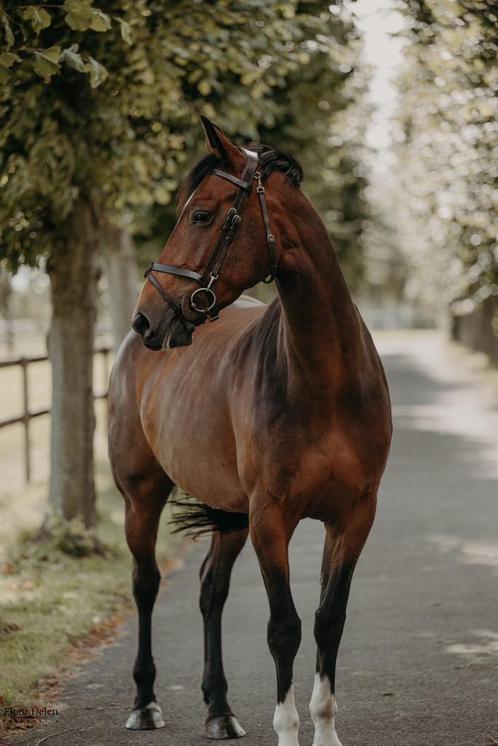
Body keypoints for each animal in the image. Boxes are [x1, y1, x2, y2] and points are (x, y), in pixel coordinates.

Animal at [107, 117, 392, 744]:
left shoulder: (353, 513)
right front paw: (287, 730)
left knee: (211, 590)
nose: (146, 318)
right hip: (142, 497)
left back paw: (220, 709)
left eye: (201, 215)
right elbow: (283, 626)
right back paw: (144, 702)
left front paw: (325, 730)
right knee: (145, 583)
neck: (324, 380)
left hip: (229, 512)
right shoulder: (271, 516)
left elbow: (328, 619)